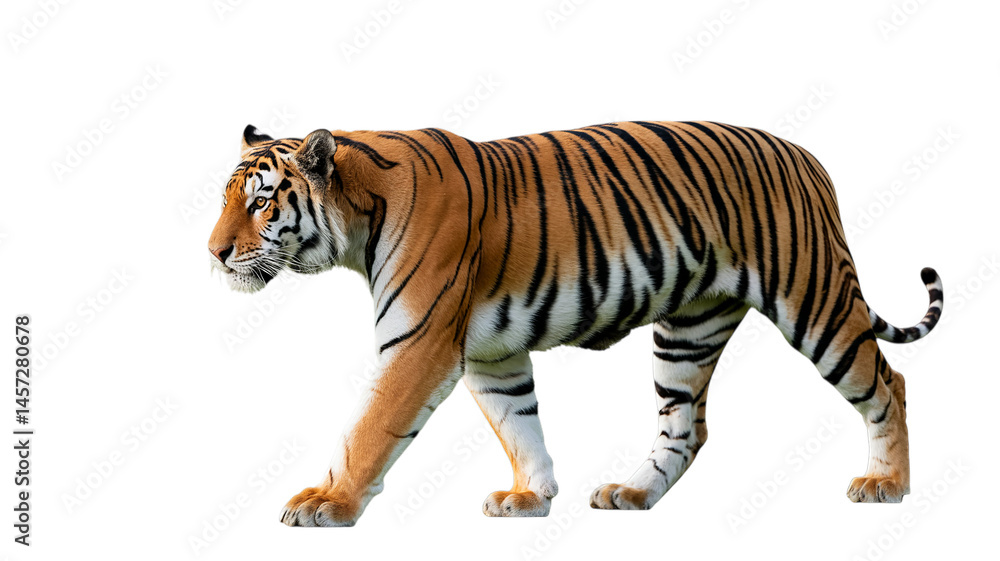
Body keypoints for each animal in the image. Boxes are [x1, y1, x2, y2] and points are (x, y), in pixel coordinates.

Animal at [208, 121, 942, 527]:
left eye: (262, 201)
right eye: (224, 198)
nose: (213, 253)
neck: (358, 216)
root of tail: (807, 156)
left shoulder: (418, 342)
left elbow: (369, 427)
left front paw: (326, 502)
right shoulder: (491, 354)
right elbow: (519, 424)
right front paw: (530, 497)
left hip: (815, 301)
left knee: (891, 385)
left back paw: (887, 485)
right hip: (688, 331)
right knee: (686, 427)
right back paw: (632, 492)